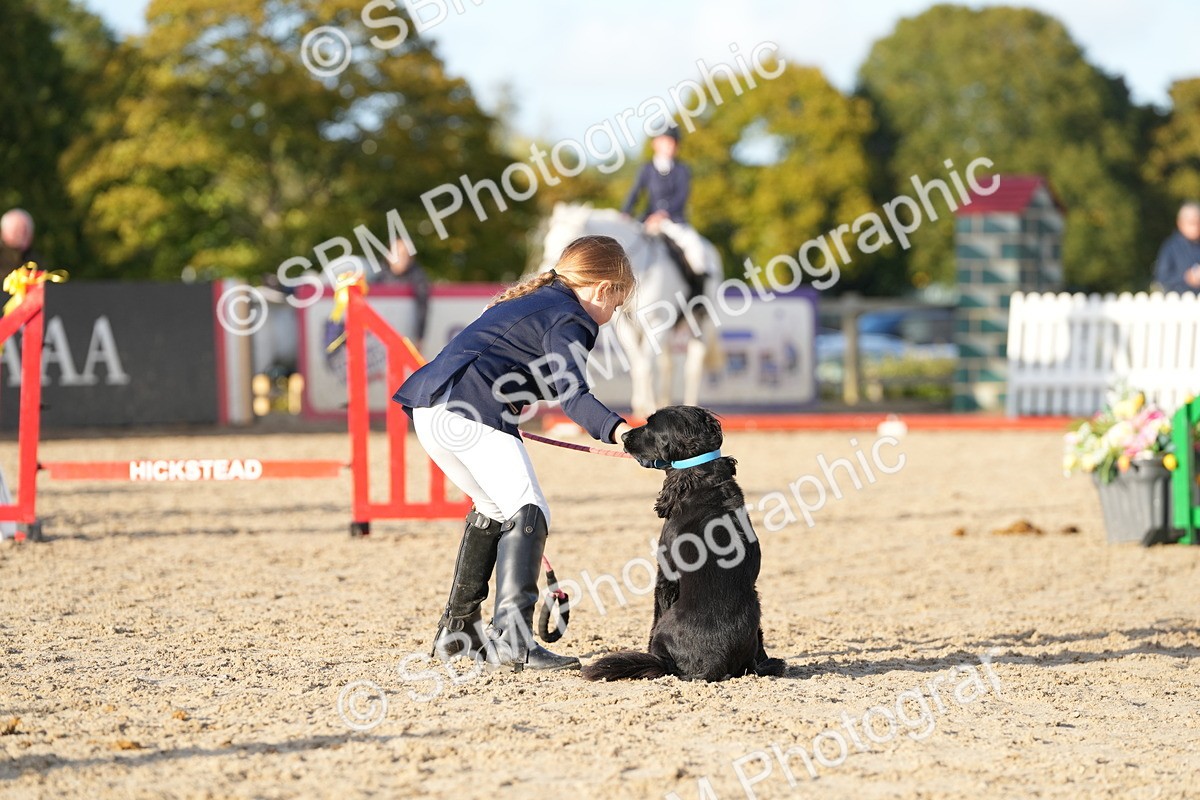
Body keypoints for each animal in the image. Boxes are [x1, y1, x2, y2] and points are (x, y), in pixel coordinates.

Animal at [539, 202, 724, 419]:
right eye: (546, 242)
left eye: (565, 242)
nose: (549, 273)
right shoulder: (628, 326)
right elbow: (637, 366)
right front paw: (641, 406)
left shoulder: (657, 324)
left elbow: (646, 366)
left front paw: (647, 407)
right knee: (669, 364)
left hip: (700, 321)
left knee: (693, 365)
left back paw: (692, 404)